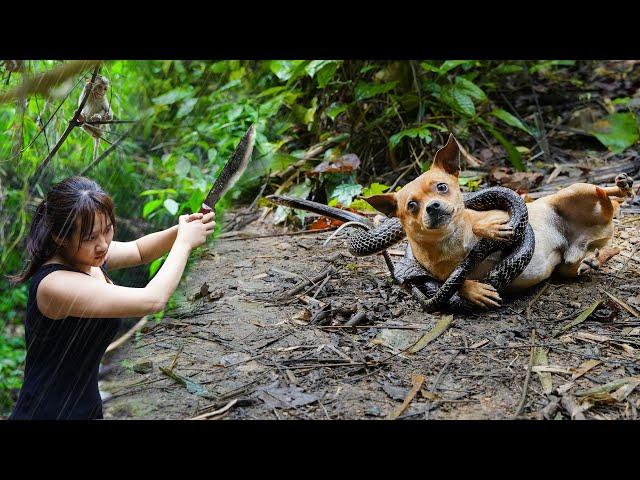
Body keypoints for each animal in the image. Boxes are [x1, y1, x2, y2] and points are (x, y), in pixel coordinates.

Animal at [364, 135, 636, 308]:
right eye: (411, 205)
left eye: (441, 187)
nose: (432, 207)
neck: (452, 242)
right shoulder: (437, 273)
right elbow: (452, 281)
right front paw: (474, 289)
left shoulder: (506, 215)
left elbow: (484, 220)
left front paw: (487, 228)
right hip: (569, 263)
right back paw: (590, 259)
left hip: (577, 189)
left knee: (603, 193)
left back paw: (620, 187)